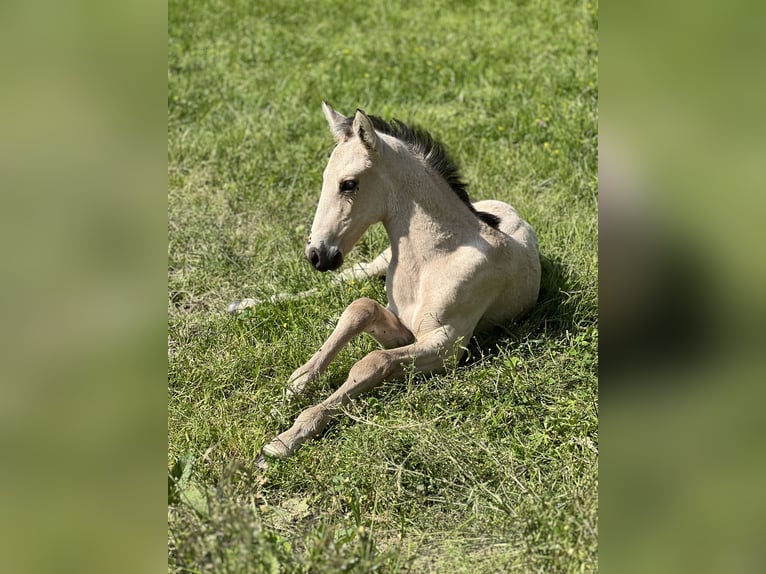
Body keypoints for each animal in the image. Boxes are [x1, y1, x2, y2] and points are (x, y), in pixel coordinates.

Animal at [250, 102, 540, 464]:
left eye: (348, 184)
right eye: (324, 179)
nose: (317, 254)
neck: (435, 258)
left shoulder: (445, 344)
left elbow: (374, 360)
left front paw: (287, 437)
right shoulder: (401, 324)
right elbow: (360, 308)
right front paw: (296, 385)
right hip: (378, 261)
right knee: (349, 277)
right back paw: (245, 305)